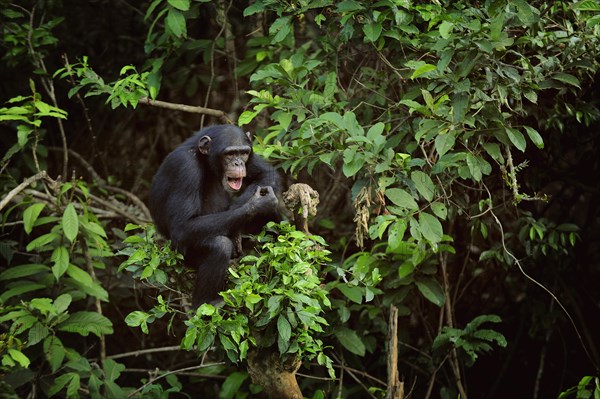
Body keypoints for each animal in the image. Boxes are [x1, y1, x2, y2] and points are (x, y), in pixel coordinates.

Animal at [150, 125, 282, 306]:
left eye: (243, 153)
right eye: (229, 154)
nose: (238, 162)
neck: (205, 160)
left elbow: (266, 174)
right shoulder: (185, 167)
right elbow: (183, 225)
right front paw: (257, 204)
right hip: (180, 256)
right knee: (220, 246)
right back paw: (207, 303)